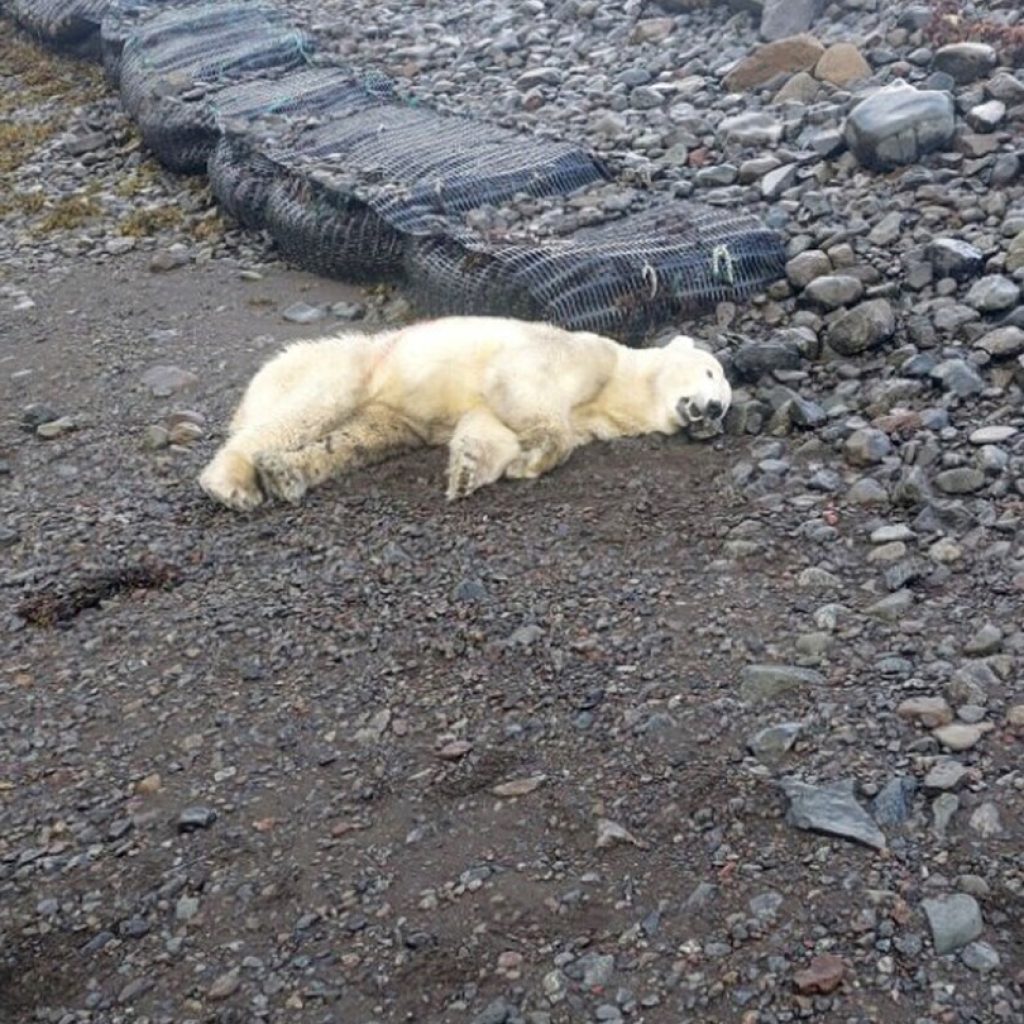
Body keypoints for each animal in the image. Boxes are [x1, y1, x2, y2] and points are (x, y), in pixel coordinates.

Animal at [197, 313, 729, 509]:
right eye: (710, 372)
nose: (714, 410)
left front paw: (471, 471)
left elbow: (488, 426)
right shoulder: (581, 353)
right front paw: (535, 457)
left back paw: (284, 474)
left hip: (387, 413)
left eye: (725, 404)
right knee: (309, 409)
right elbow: (522, 384)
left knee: (358, 439)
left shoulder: (589, 416)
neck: (619, 386)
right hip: (352, 365)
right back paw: (232, 484)